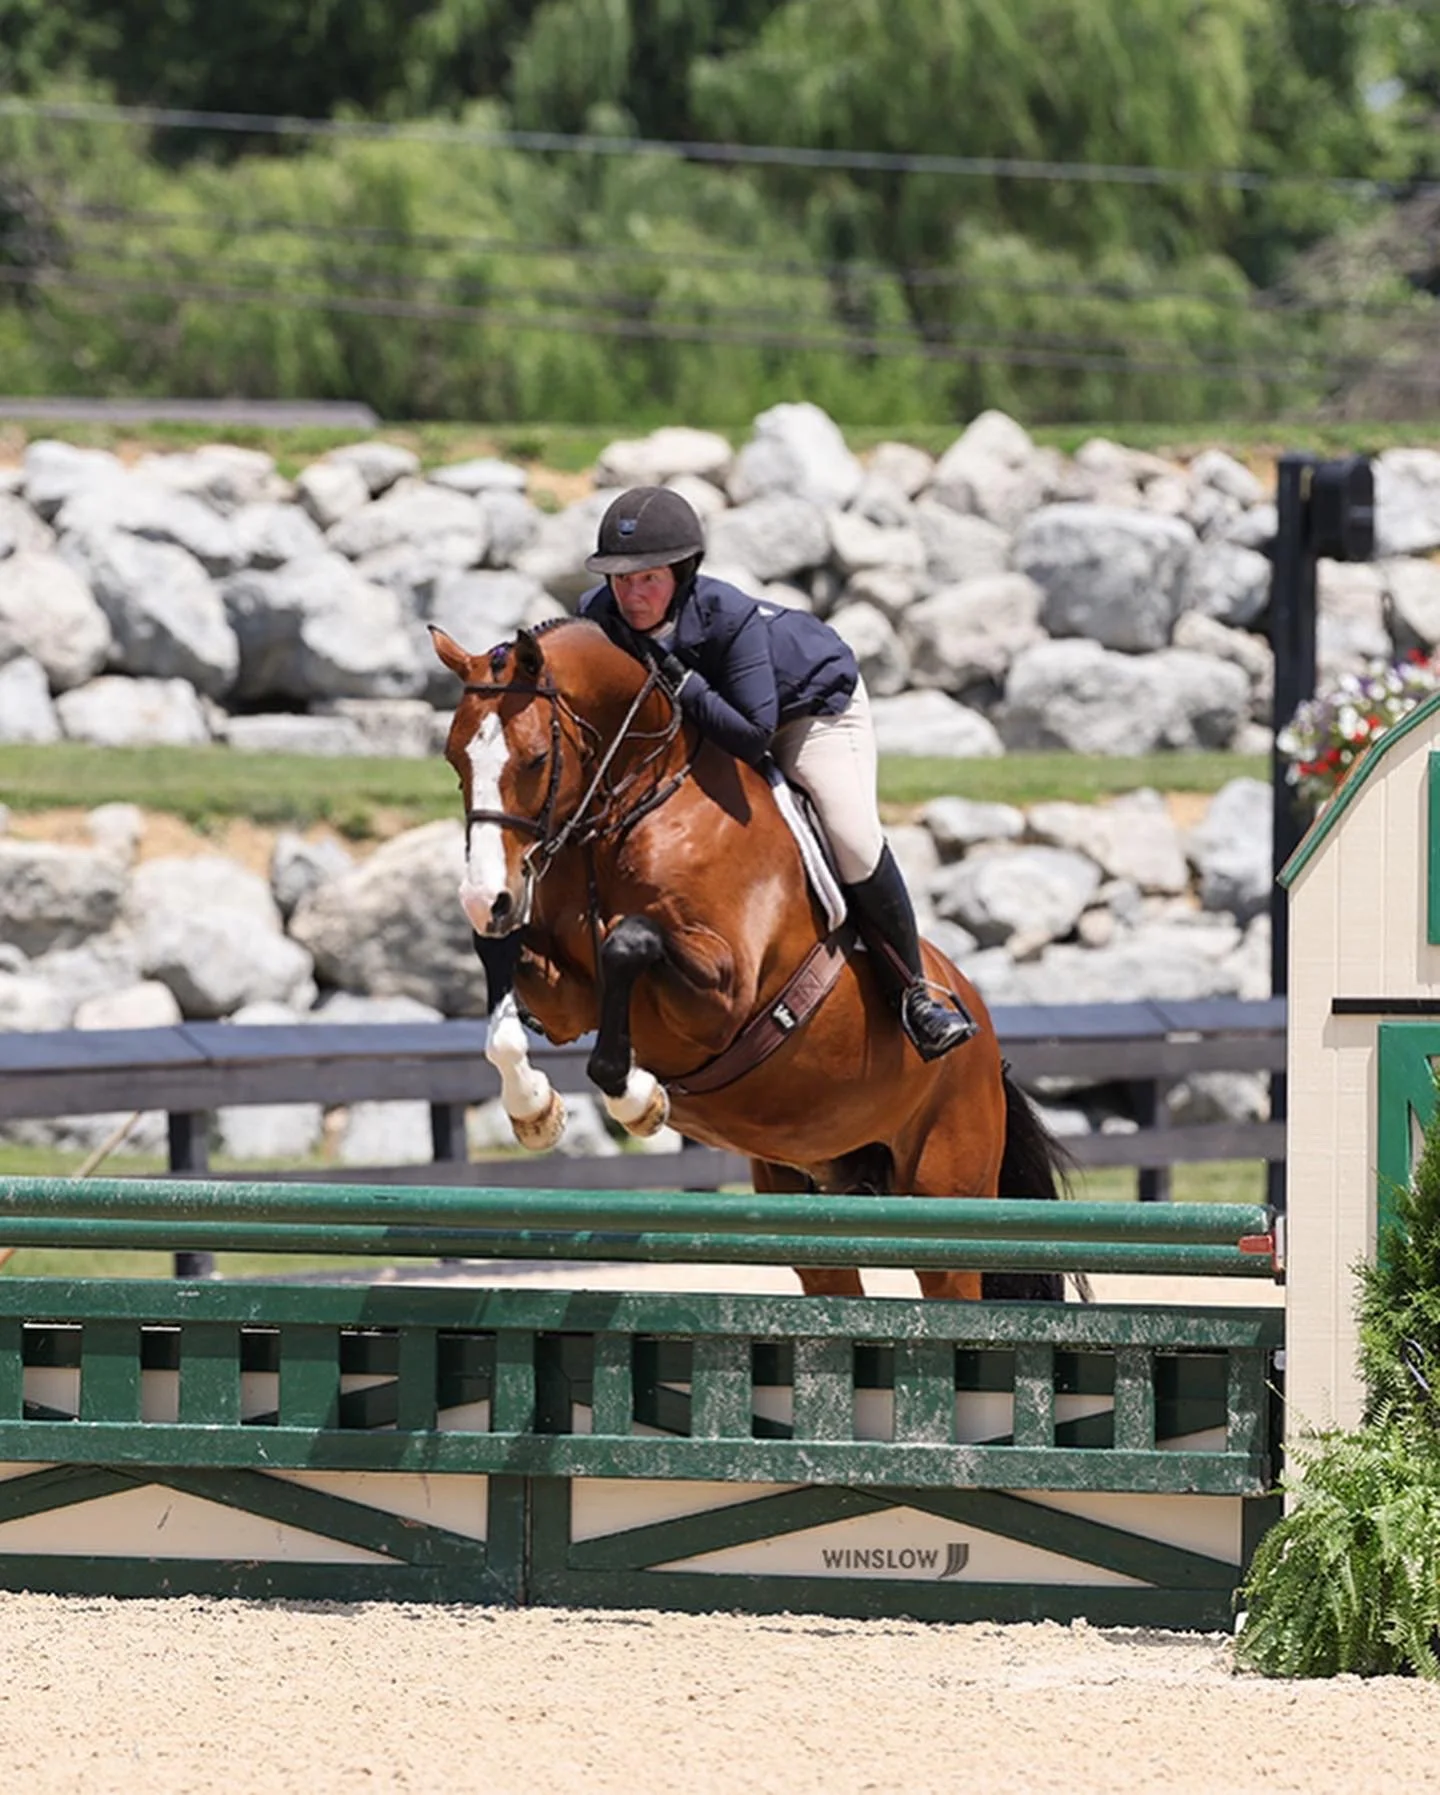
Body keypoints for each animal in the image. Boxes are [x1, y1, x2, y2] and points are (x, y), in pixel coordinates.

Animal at [430, 616, 1070, 1301]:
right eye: (455, 760)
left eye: (535, 759)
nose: (485, 899)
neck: (639, 804)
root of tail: (987, 1044)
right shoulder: (566, 999)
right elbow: (505, 988)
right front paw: (536, 1110)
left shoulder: (723, 995)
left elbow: (629, 941)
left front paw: (640, 1099)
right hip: (811, 1194)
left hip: (946, 1191)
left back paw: (932, 1018)